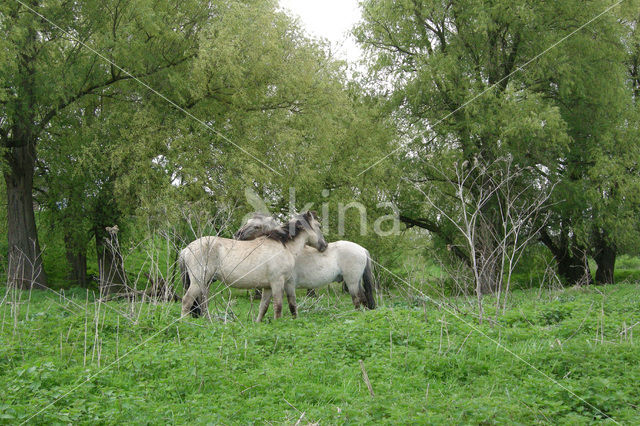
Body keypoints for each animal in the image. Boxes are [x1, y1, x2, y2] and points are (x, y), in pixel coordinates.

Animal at [181, 211, 328, 322]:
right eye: (319, 226)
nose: (324, 246)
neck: (283, 245)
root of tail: (186, 249)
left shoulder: (268, 287)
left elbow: (263, 307)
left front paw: (258, 323)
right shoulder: (278, 283)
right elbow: (278, 306)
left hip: (205, 283)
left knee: (202, 302)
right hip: (198, 282)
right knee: (187, 301)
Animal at [235, 213, 376, 312]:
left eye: (256, 226)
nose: (237, 235)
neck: (288, 248)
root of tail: (362, 249)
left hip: (352, 282)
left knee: (358, 299)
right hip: (356, 281)